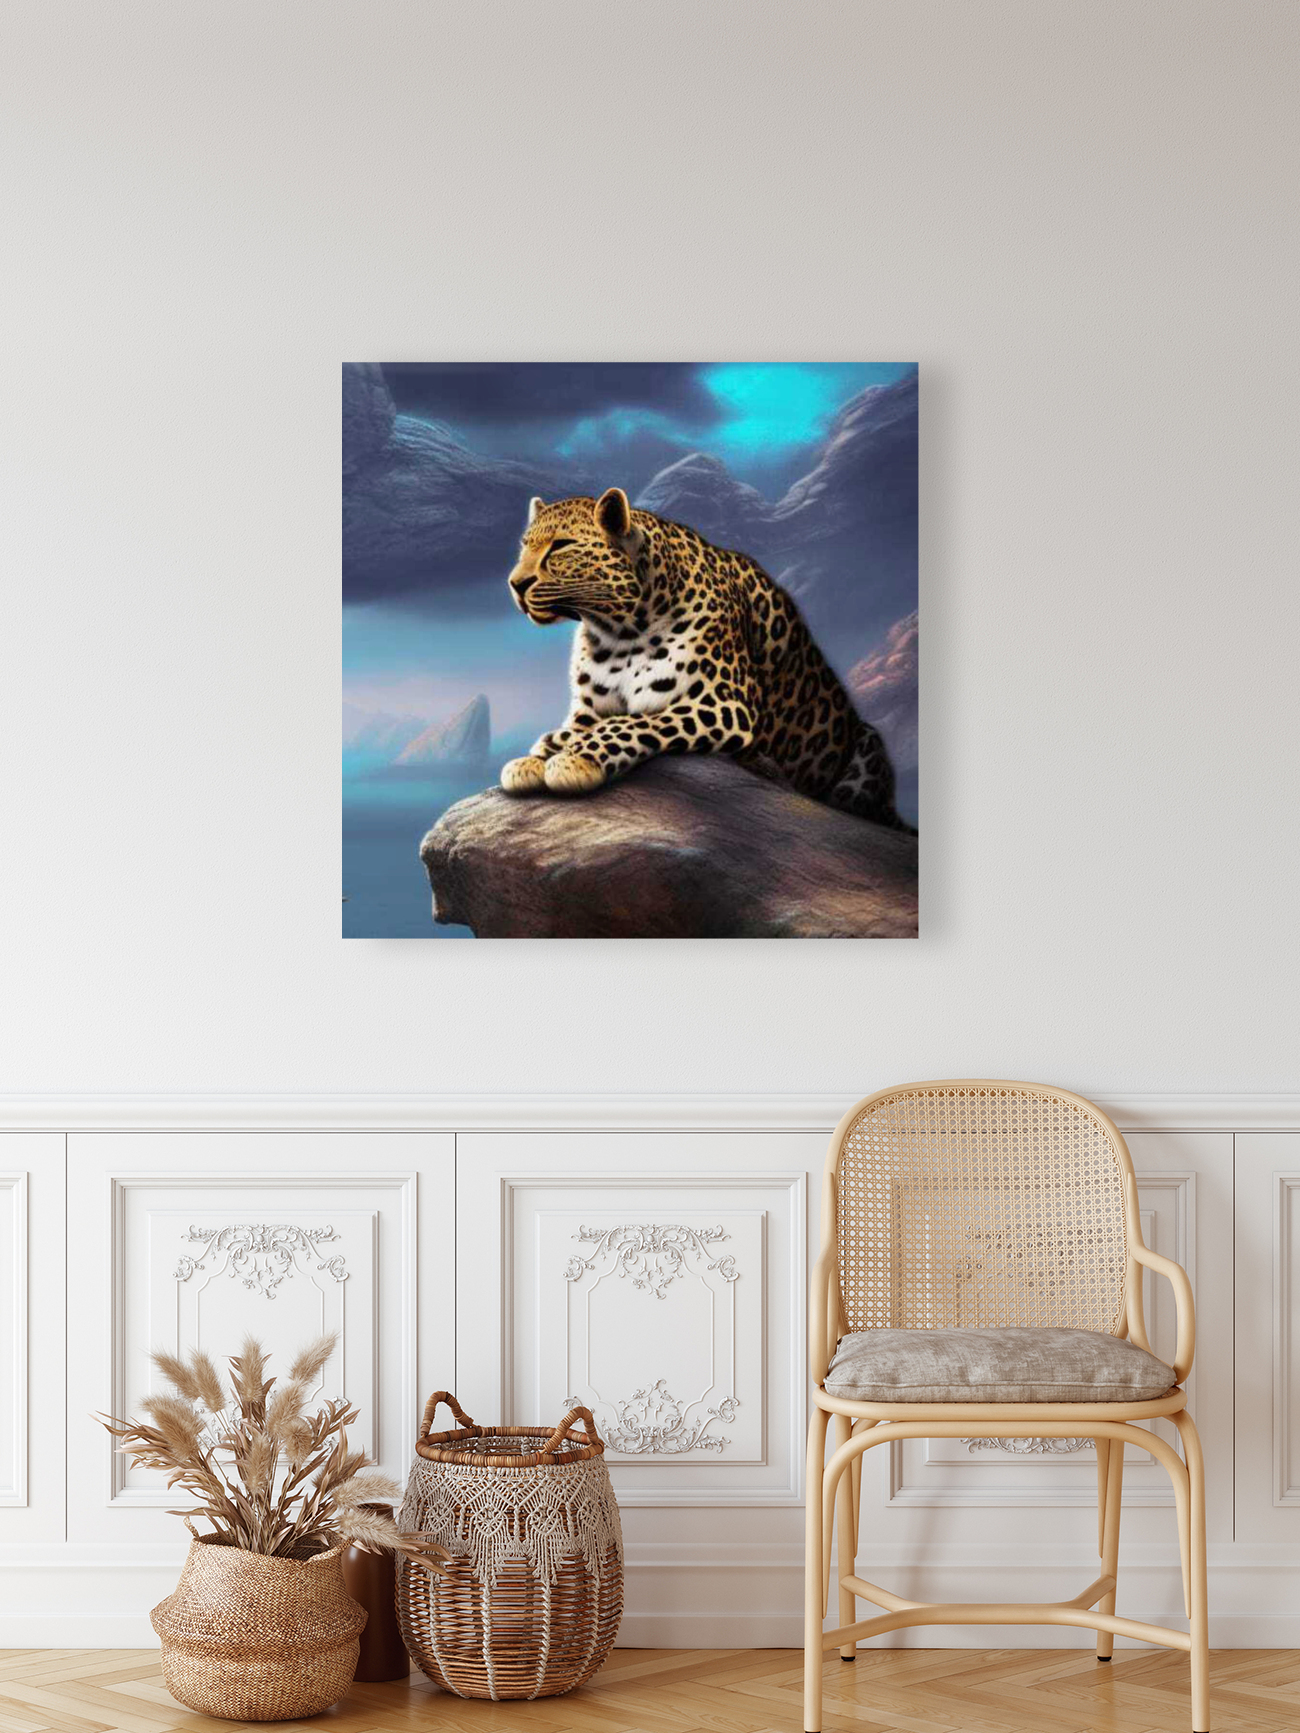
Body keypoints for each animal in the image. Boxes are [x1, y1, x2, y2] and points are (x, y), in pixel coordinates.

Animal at [499, 486, 913, 832]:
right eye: (524, 545)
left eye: (561, 546)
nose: (515, 583)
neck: (616, 631)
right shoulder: (588, 710)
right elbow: (571, 730)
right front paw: (533, 759)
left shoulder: (722, 704)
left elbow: (631, 724)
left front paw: (575, 759)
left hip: (868, 747)